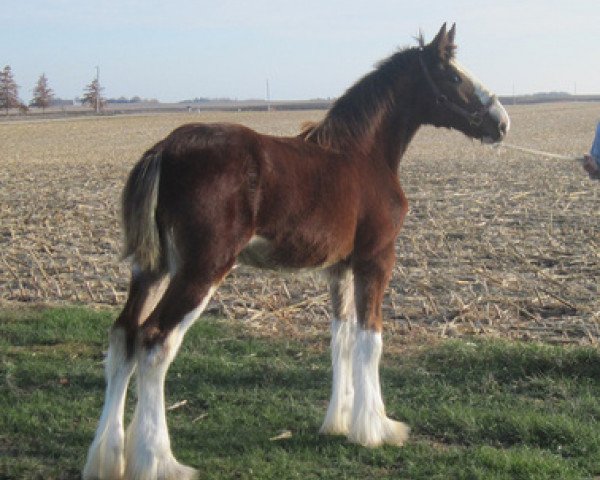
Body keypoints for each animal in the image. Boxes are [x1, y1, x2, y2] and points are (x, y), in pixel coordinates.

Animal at [83, 23, 506, 480]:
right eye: (454, 76)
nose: (502, 122)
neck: (362, 155)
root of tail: (164, 148)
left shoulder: (338, 269)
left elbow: (342, 337)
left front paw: (339, 422)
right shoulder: (376, 259)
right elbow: (371, 338)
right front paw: (376, 428)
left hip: (153, 268)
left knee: (123, 335)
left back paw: (107, 457)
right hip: (202, 269)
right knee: (155, 341)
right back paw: (159, 461)